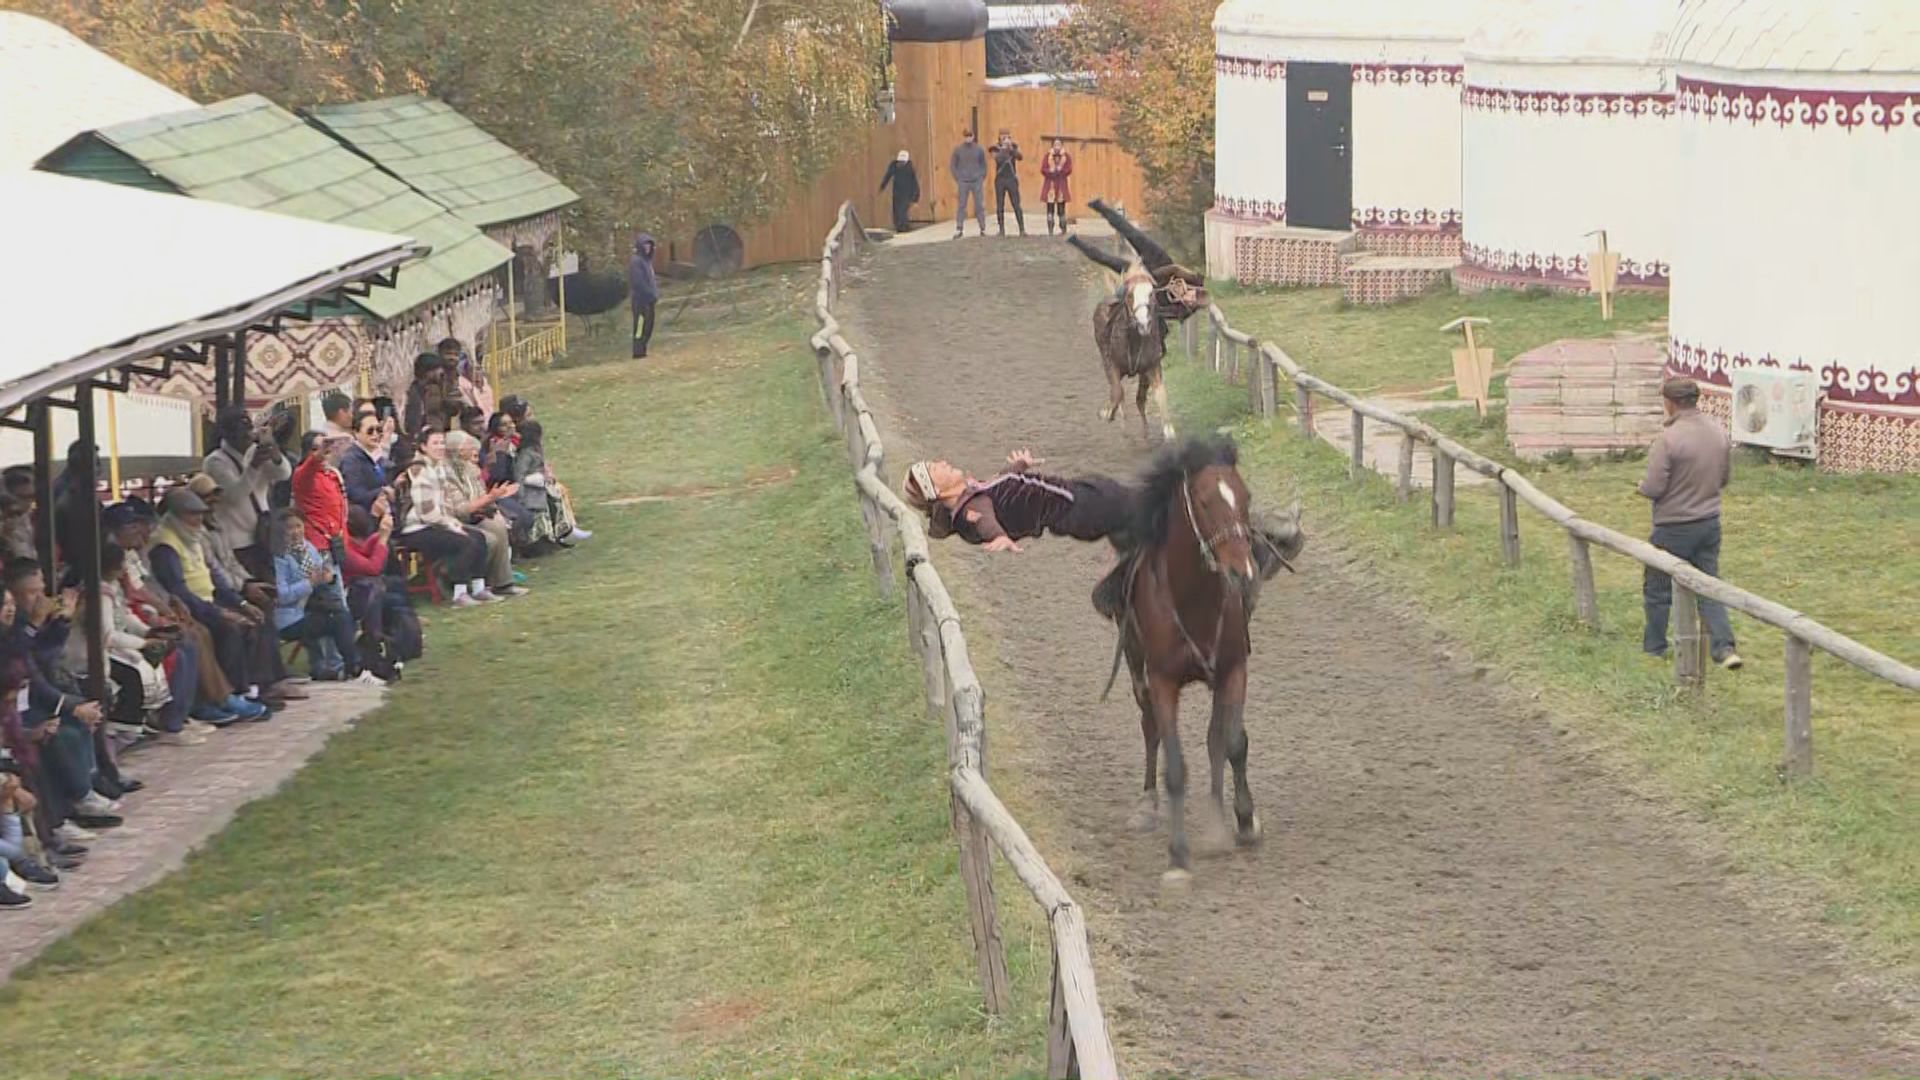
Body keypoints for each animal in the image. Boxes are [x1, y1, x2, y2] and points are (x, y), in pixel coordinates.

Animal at [1098, 432, 1305, 880]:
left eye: (1245, 496)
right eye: (1206, 501)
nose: (1244, 572)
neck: (1191, 599)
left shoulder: (1233, 670)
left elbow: (1232, 743)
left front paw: (1243, 822)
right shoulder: (1162, 681)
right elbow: (1175, 765)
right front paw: (1178, 856)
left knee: (1214, 739)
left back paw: (1217, 816)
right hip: (1137, 667)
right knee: (1150, 728)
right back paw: (1147, 805)